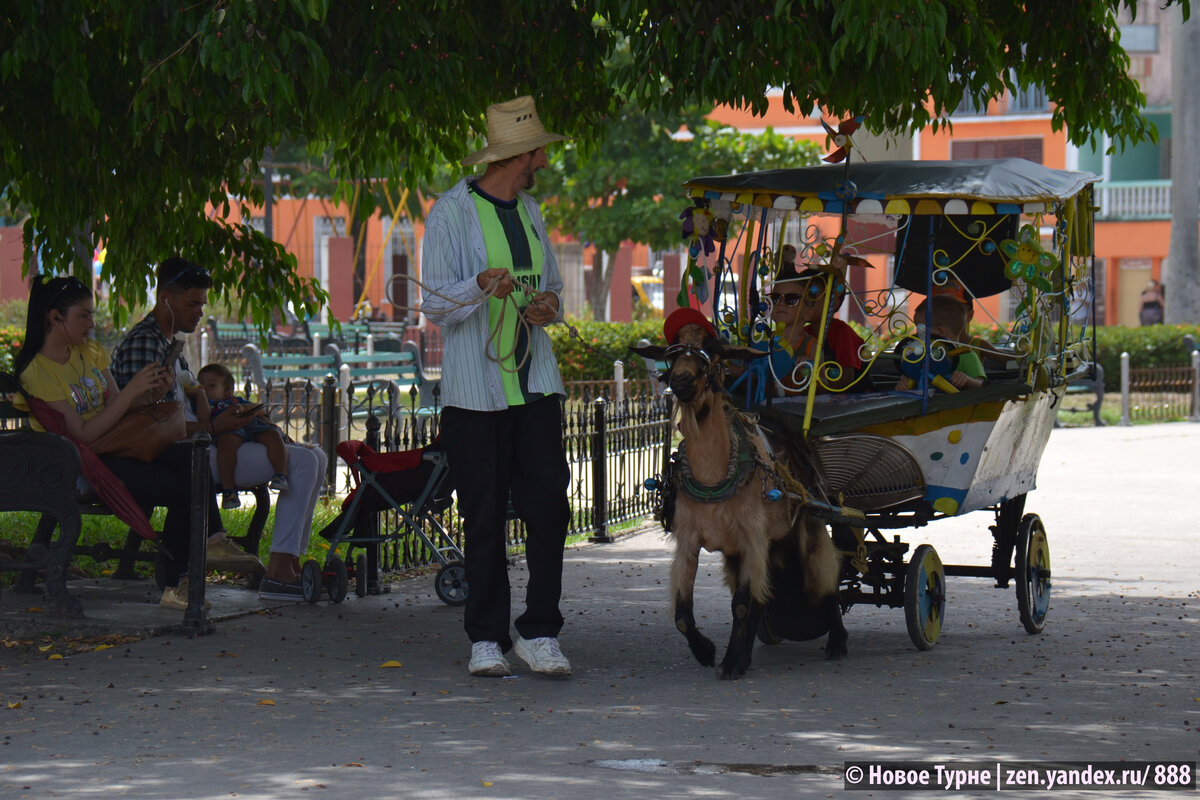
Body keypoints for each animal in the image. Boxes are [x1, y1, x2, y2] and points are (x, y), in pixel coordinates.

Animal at [633, 316, 849, 681]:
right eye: (673, 352)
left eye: (714, 352)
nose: (680, 380)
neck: (714, 476)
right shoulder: (690, 541)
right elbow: (684, 612)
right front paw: (708, 651)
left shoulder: (752, 538)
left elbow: (743, 604)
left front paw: (731, 661)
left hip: (808, 525)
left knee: (824, 579)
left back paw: (837, 641)